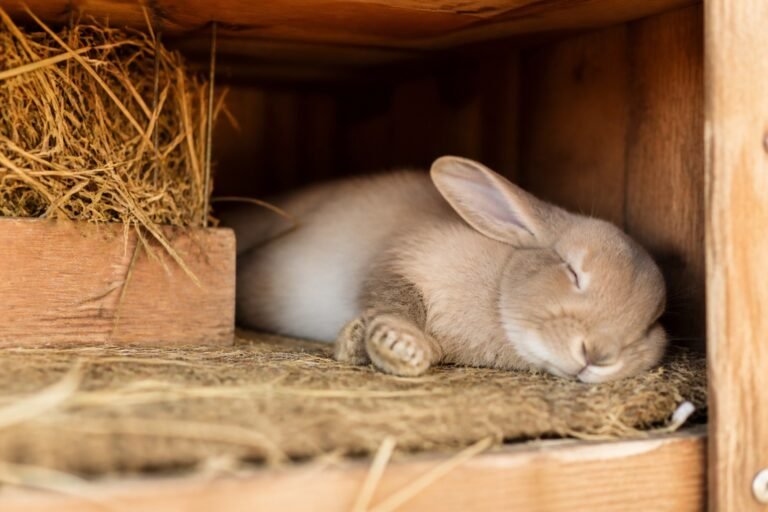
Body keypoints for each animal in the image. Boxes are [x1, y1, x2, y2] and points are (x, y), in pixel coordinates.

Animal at [225, 156, 667, 383]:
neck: (499, 284)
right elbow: (398, 299)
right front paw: (397, 345)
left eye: (652, 324)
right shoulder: (402, 259)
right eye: (572, 270)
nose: (597, 354)